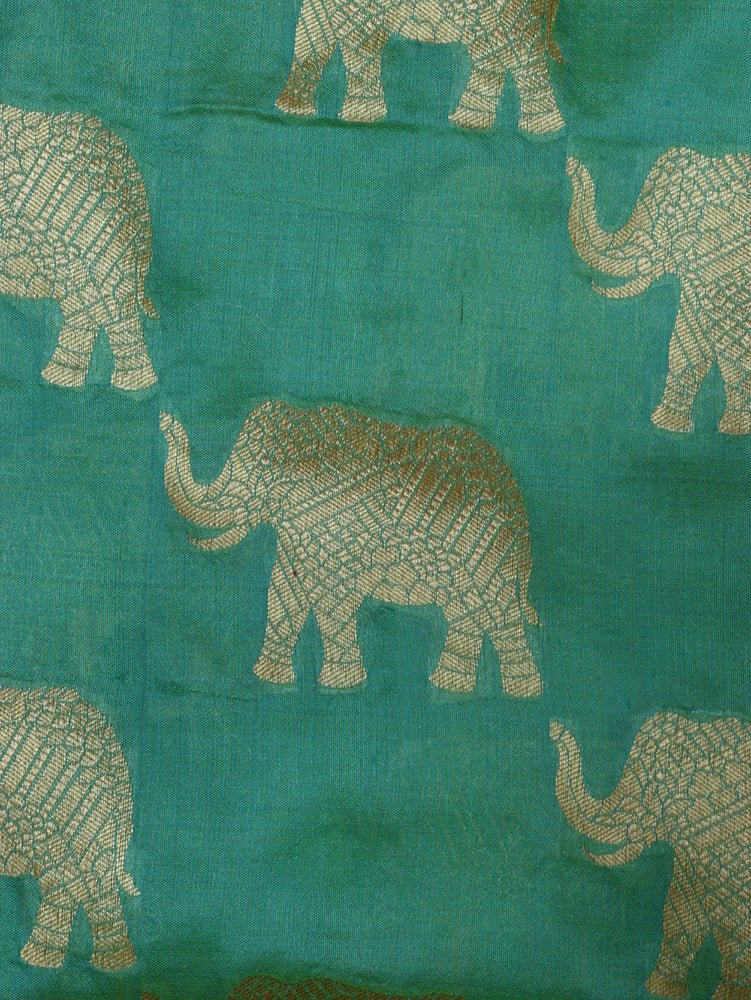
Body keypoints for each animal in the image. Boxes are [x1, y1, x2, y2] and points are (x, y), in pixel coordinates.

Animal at [161, 401, 542, 695]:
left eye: (268, 472)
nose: (165, 419)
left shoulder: (341, 528)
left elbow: (332, 598)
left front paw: (339, 684)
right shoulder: (301, 527)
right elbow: (285, 594)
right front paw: (270, 679)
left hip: (489, 551)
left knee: (500, 617)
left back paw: (521, 692)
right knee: (466, 613)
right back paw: (448, 685)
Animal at [275, 0, 564, 132]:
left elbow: (361, 42)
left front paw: (359, 117)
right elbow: (314, 36)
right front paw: (293, 110)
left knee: (515, 54)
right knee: (497, 54)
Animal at [551, 714, 751, 1000]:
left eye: (660, 777)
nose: (552, 731)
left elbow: (730, 912)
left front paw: (731, 993)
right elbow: (682, 908)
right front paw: (663, 989)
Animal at [567, 148, 751, 435]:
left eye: (670, 220)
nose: (570, 166)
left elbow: (732, 341)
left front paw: (733, 429)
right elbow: (688, 340)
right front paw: (670, 424)